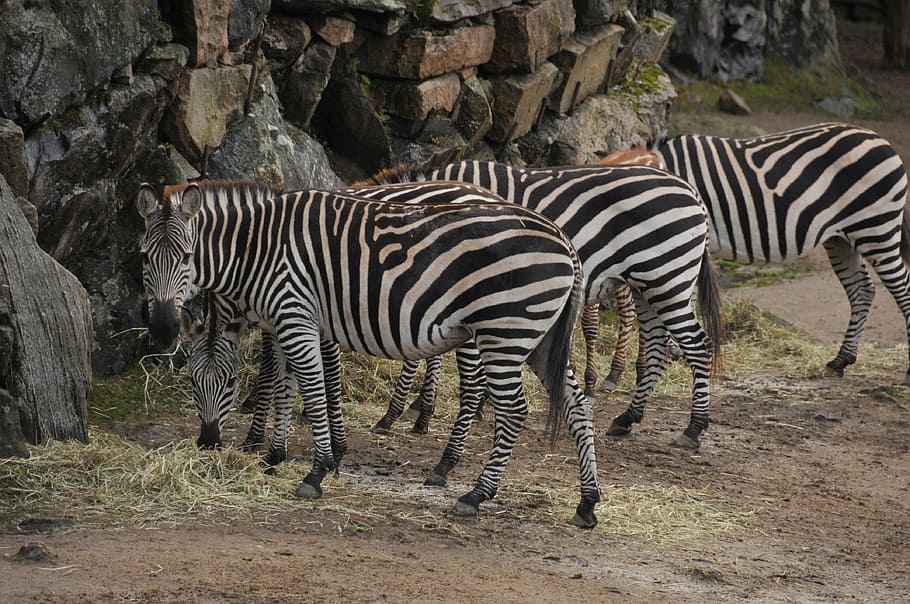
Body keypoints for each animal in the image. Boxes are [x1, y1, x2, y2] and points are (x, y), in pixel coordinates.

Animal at [136, 179, 602, 527]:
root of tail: (563, 239)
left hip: (504, 331)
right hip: (539, 337)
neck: (257, 249)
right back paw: (587, 502)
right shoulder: (285, 321)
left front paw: (319, 468)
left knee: (512, 409)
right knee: (577, 405)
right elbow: (285, 387)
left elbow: (314, 387)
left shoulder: (299, 316)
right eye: (144, 258)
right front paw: (274, 456)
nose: (162, 329)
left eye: (186, 256)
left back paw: (473, 492)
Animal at [358, 161, 724, 450]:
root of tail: (691, 191)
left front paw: (399, 413)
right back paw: (628, 417)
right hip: (647, 286)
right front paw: (425, 409)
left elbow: (419, 353)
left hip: (666, 278)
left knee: (697, 346)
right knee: (660, 346)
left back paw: (693, 428)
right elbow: (432, 351)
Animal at [657, 123, 910, 383]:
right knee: (862, 289)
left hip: (876, 228)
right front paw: (673, 351)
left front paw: (672, 351)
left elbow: (680, 299)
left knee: (901, 288)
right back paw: (841, 360)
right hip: (841, 238)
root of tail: (879, 138)